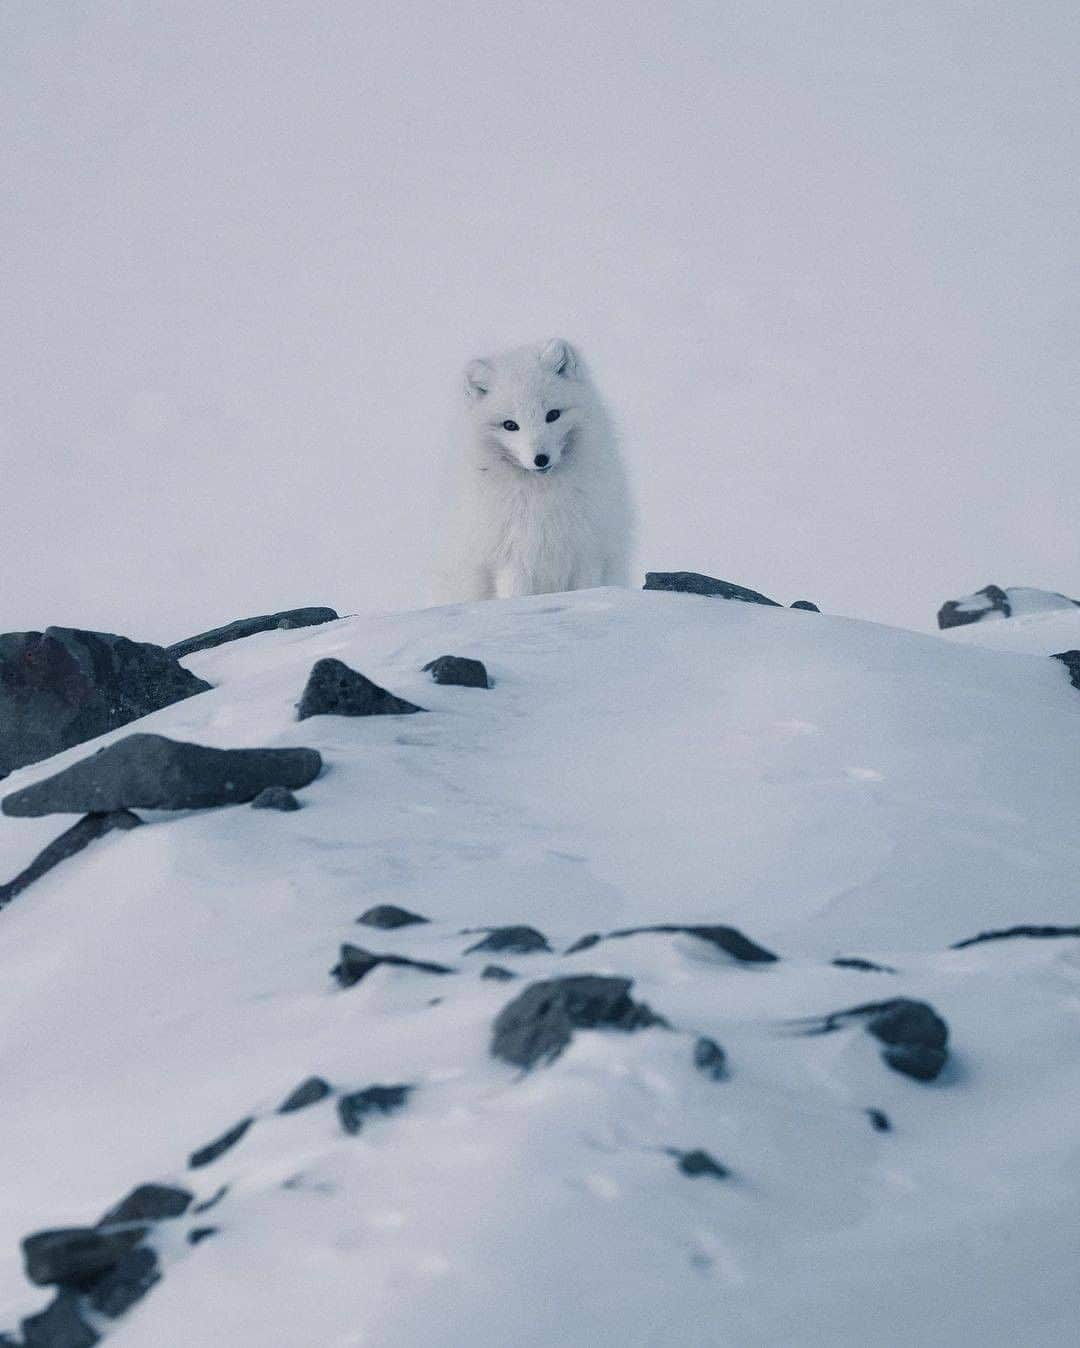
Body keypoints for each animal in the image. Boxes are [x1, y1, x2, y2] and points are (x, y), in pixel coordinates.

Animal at [428, 339, 631, 603]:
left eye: (552, 415)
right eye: (510, 425)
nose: (540, 459)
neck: (543, 497)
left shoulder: (587, 553)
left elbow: (587, 589)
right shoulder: (512, 561)